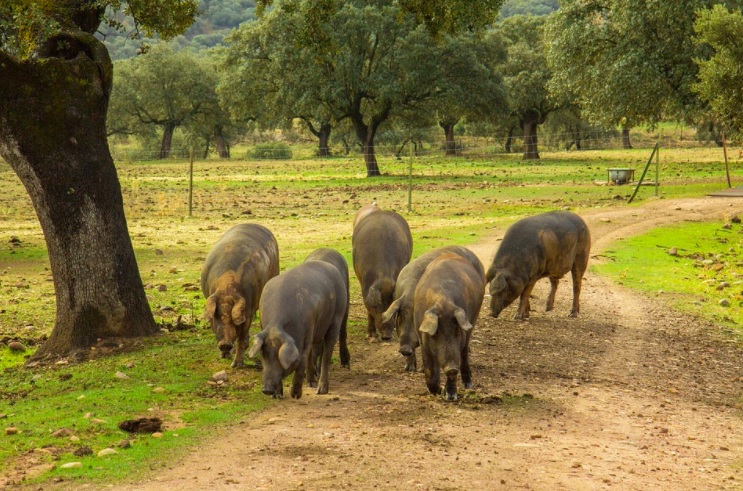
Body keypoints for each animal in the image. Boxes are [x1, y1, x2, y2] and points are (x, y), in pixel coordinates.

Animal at [201, 225, 280, 368]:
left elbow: (241, 338)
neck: (226, 289)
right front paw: (223, 357)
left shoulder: (248, 310)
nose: (225, 344)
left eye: (232, 318)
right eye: (217, 317)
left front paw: (236, 365)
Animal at [246, 262, 348, 400]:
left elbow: (301, 362)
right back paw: (311, 383)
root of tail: (332, 267)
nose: (266, 390)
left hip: (337, 315)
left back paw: (320, 390)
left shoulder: (307, 332)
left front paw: (295, 395)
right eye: (264, 354)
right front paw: (277, 396)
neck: (276, 324)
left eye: (279, 356)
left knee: (327, 352)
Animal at [412, 256, 488, 402]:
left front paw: (450, 397)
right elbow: (430, 372)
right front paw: (439, 391)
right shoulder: (423, 339)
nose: (451, 368)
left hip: (473, 319)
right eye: (436, 333)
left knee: (464, 352)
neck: (443, 301)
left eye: (456, 330)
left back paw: (467, 385)